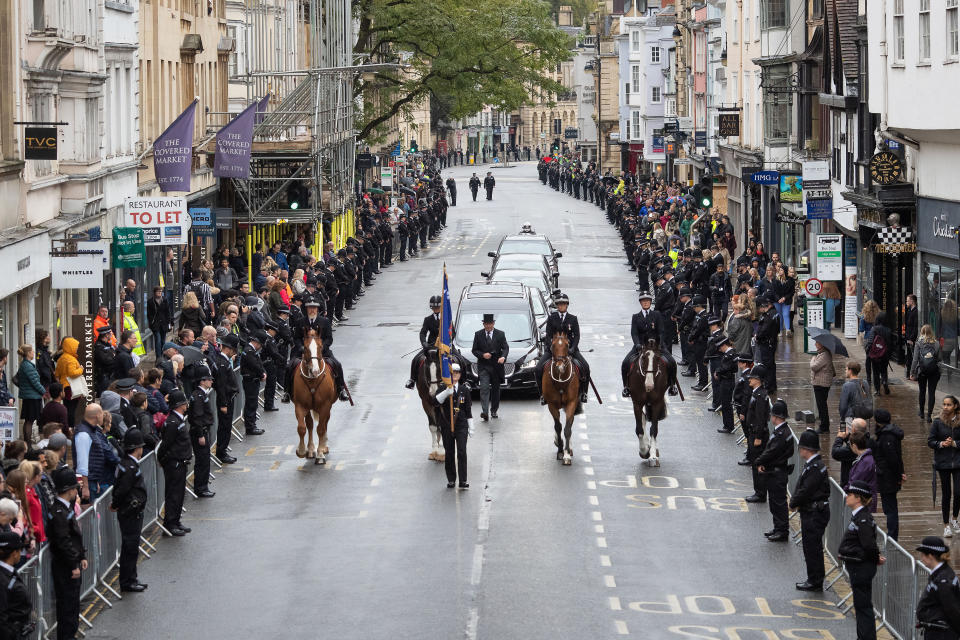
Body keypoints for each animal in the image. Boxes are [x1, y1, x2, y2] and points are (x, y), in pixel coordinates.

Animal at [292, 332, 338, 462]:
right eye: (305, 348)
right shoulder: (300, 405)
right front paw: (302, 451)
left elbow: (321, 428)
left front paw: (320, 453)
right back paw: (311, 450)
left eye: (320, 347)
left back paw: (323, 447)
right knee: (310, 424)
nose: (315, 371)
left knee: (324, 423)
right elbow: (302, 428)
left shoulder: (325, 406)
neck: (312, 380)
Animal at [540, 336, 576, 464]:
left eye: (567, 345)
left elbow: (567, 428)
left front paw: (566, 455)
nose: (560, 367)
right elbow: (558, 427)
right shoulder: (552, 405)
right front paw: (560, 451)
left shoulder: (572, 403)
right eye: (553, 345)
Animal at [628, 338, 672, 468]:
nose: (649, 385)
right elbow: (639, 429)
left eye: (657, 358)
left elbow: (654, 429)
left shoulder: (656, 403)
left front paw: (652, 455)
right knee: (643, 418)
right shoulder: (637, 403)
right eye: (643, 358)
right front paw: (644, 451)